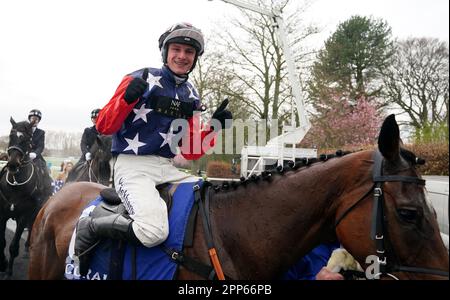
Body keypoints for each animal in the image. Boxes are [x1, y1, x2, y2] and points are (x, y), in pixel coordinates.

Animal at [0, 116, 52, 276]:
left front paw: (8, 271)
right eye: (11, 135)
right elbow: (2, 243)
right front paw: (3, 264)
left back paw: (28, 248)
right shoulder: (3, 214)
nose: (12, 165)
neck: (15, 184)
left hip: (35, 212)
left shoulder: (23, 216)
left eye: (26, 139)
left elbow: (13, 246)